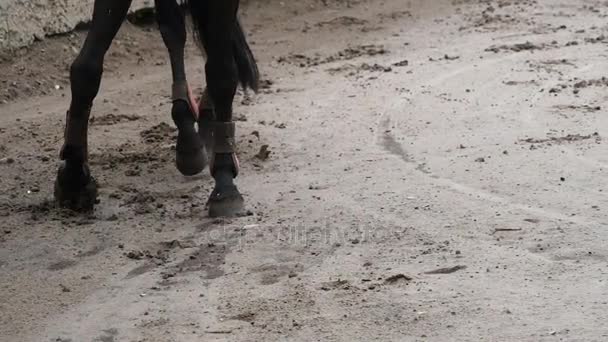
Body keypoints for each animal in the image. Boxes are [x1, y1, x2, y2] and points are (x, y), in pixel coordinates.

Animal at [53, 0, 260, 218]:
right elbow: (86, 68)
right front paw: (74, 179)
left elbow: (221, 72)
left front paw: (225, 183)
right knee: (174, 27)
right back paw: (191, 134)